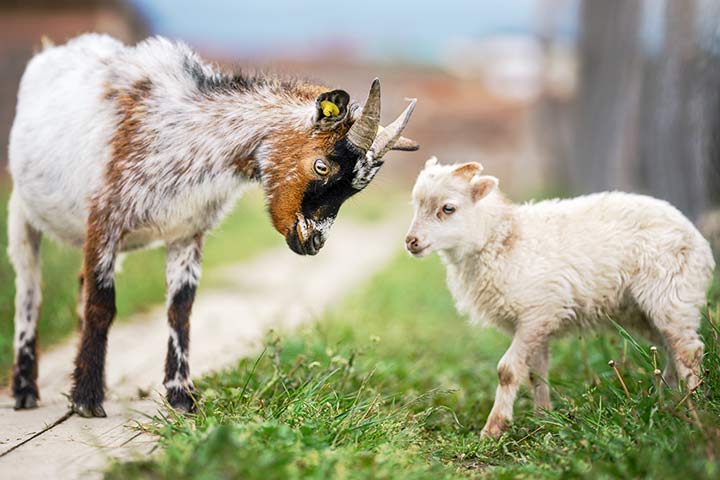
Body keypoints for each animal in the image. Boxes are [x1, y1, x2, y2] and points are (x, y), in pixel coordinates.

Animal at [7, 34, 418, 416]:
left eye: (356, 188)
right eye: (322, 165)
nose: (313, 240)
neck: (187, 135)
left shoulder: (187, 233)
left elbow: (180, 310)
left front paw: (181, 396)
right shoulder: (104, 220)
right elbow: (101, 306)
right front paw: (86, 400)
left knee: (79, 283)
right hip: (22, 212)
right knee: (30, 291)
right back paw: (26, 390)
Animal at [405, 157, 715, 438]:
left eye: (448, 208)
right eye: (416, 205)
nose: (411, 242)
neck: (503, 238)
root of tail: (698, 239)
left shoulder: (537, 311)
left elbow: (507, 370)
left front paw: (493, 429)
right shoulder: (536, 319)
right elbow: (535, 371)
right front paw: (543, 417)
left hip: (671, 293)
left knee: (689, 350)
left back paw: (695, 407)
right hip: (645, 310)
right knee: (672, 348)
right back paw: (668, 399)